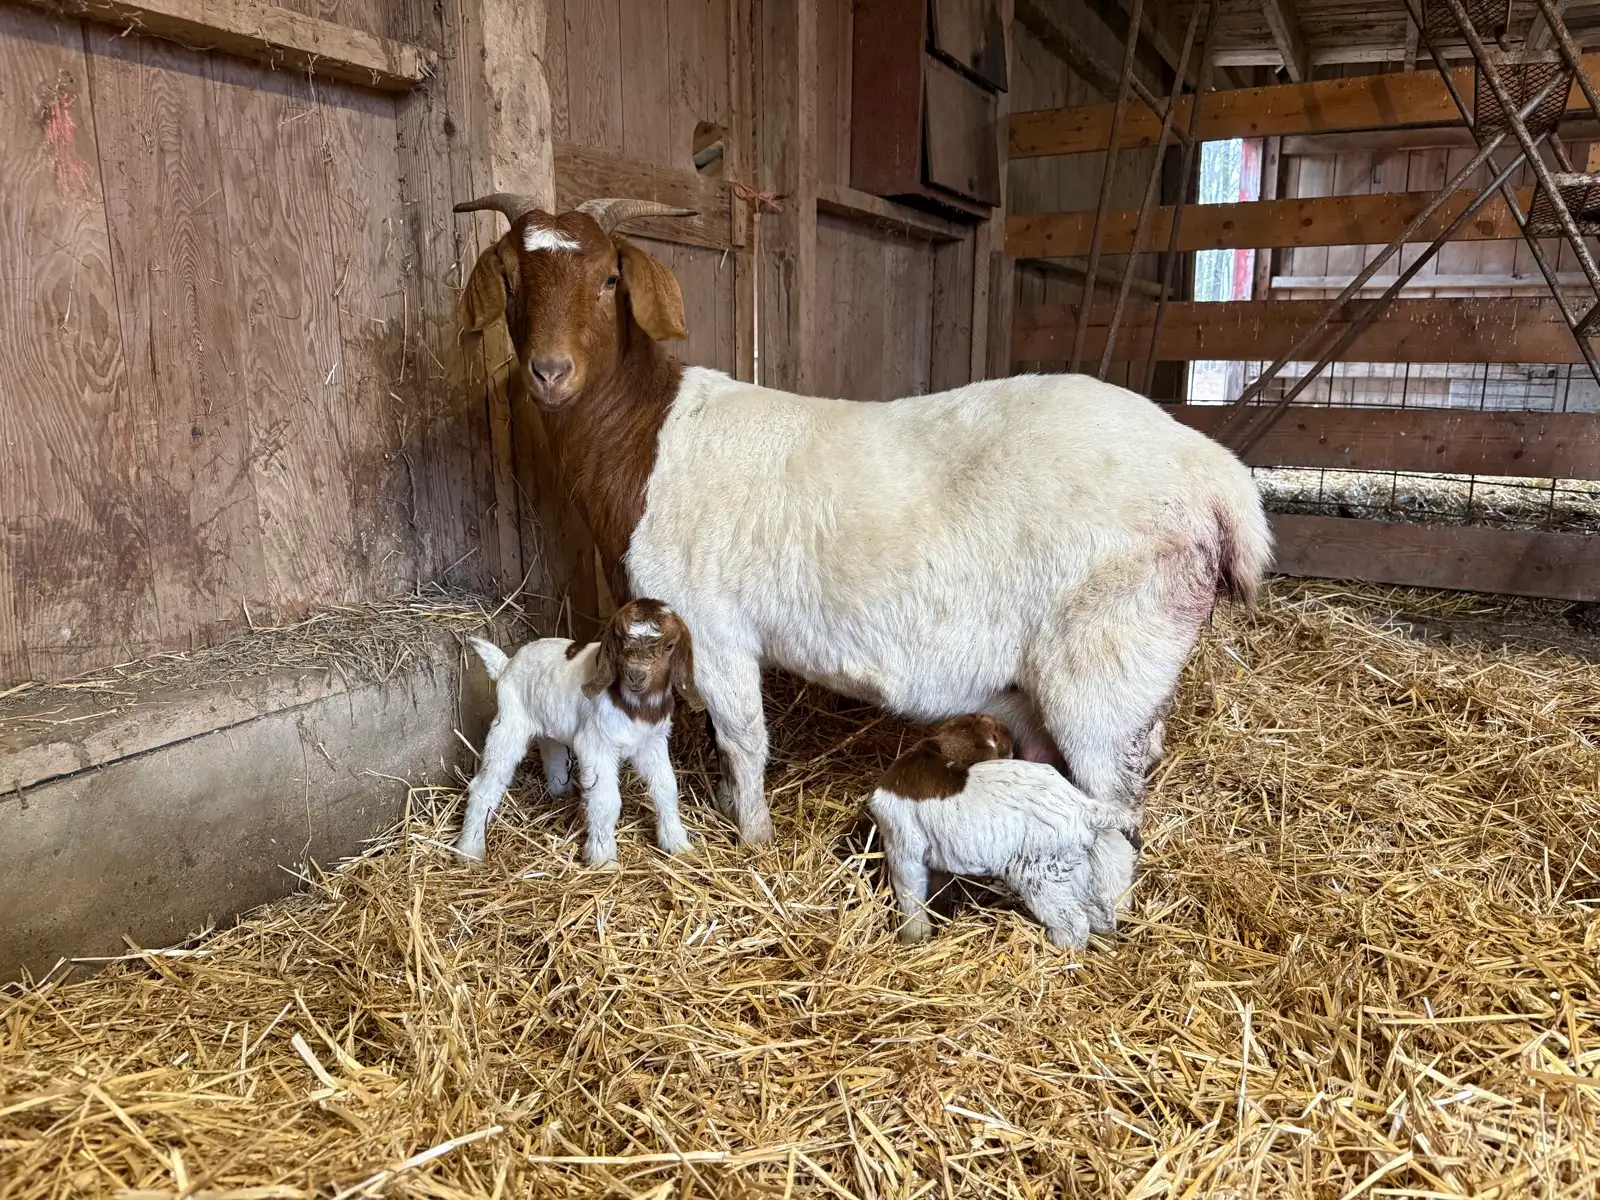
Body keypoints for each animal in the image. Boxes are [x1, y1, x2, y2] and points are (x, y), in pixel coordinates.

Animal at [454, 598, 704, 868]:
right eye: (620, 638)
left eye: (669, 646)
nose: (636, 676)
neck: (636, 705)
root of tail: (505, 665)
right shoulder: (595, 744)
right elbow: (606, 799)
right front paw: (603, 860)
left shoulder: (653, 742)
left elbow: (666, 788)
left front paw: (678, 844)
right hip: (510, 723)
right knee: (486, 783)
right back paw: (469, 850)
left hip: (547, 724)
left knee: (552, 755)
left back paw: (561, 793)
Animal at [867, 715, 1141, 948]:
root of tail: (1085, 808)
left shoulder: (902, 842)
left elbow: (909, 892)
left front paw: (914, 936)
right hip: (1071, 863)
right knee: (1096, 907)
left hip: (1038, 874)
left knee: (1072, 920)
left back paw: (1060, 946)